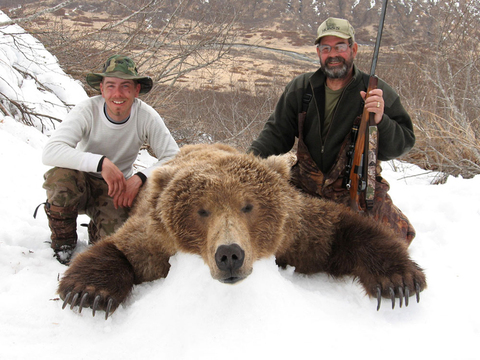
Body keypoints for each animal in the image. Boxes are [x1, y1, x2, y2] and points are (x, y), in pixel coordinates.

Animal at [58, 143, 426, 318]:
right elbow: (124, 249)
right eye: (202, 210)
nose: (229, 254)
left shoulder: (294, 228)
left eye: (248, 206)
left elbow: (339, 230)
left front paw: (397, 281)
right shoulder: (158, 240)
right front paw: (89, 292)